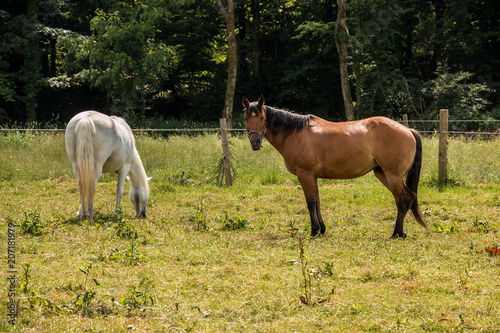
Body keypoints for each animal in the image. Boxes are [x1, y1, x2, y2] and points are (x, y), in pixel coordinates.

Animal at [242, 94, 430, 237]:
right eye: (246, 118)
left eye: (262, 118)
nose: (255, 142)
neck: (295, 133)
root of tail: (408, 130)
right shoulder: (313, 176)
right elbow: (317, 201)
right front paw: (321, 230)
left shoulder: (305, 174)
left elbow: (310, 203)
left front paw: (314, 231)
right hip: (382, 174)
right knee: (409, 197)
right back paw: (400, 231)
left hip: (392, 175)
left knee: (402, 199)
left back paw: (397, 233)